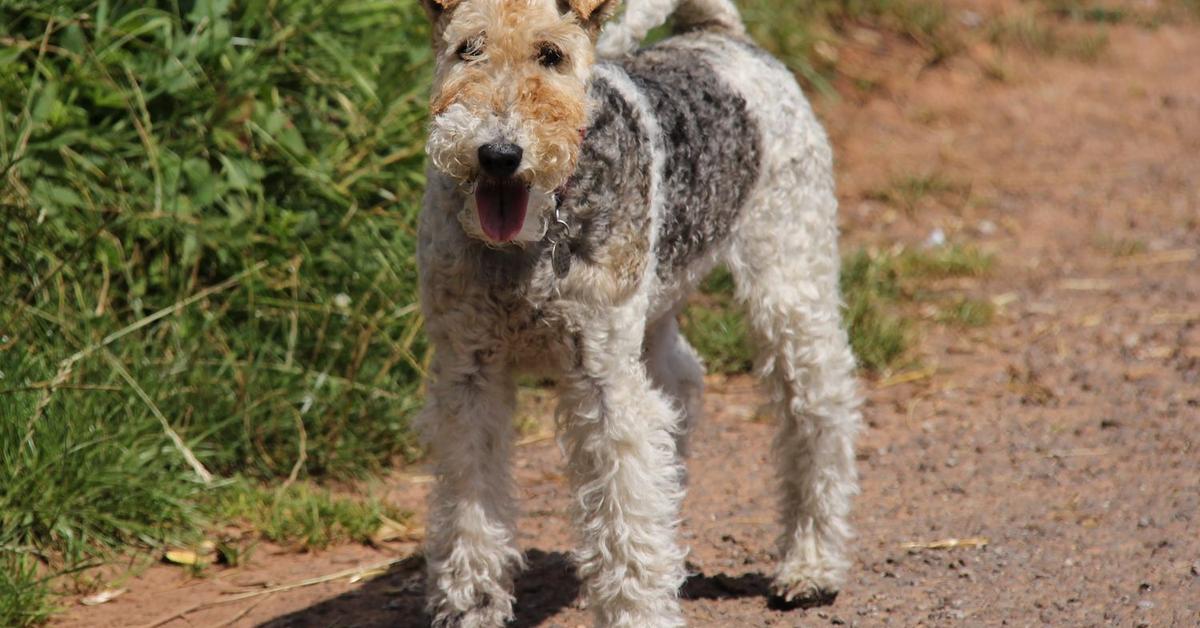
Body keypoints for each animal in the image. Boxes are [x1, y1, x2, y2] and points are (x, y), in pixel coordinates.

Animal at [415, 1, 864, 624]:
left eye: (551, 54)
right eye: (468, 48)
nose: (499, 156)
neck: (530, 240)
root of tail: (717, 35)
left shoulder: (604, 381)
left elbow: (623, 513)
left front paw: (636, 609)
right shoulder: (468, 374)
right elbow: (470, 507)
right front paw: (471, 606)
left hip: (789, 282)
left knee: (820, 414)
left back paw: (811, 565)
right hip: (652, 312)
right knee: (684, 380)